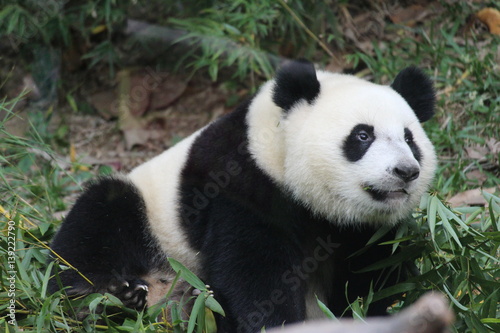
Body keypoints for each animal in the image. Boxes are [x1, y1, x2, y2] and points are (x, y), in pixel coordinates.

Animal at [48, 59, 436, 332]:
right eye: (362, 136)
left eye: (410, 139)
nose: (405, 171)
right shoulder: (243, 187)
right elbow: (255, 275)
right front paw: (276, 324)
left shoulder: (368, 232)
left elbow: (371, 277)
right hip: (148, 218)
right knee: (95, 226)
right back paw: (115, 300)